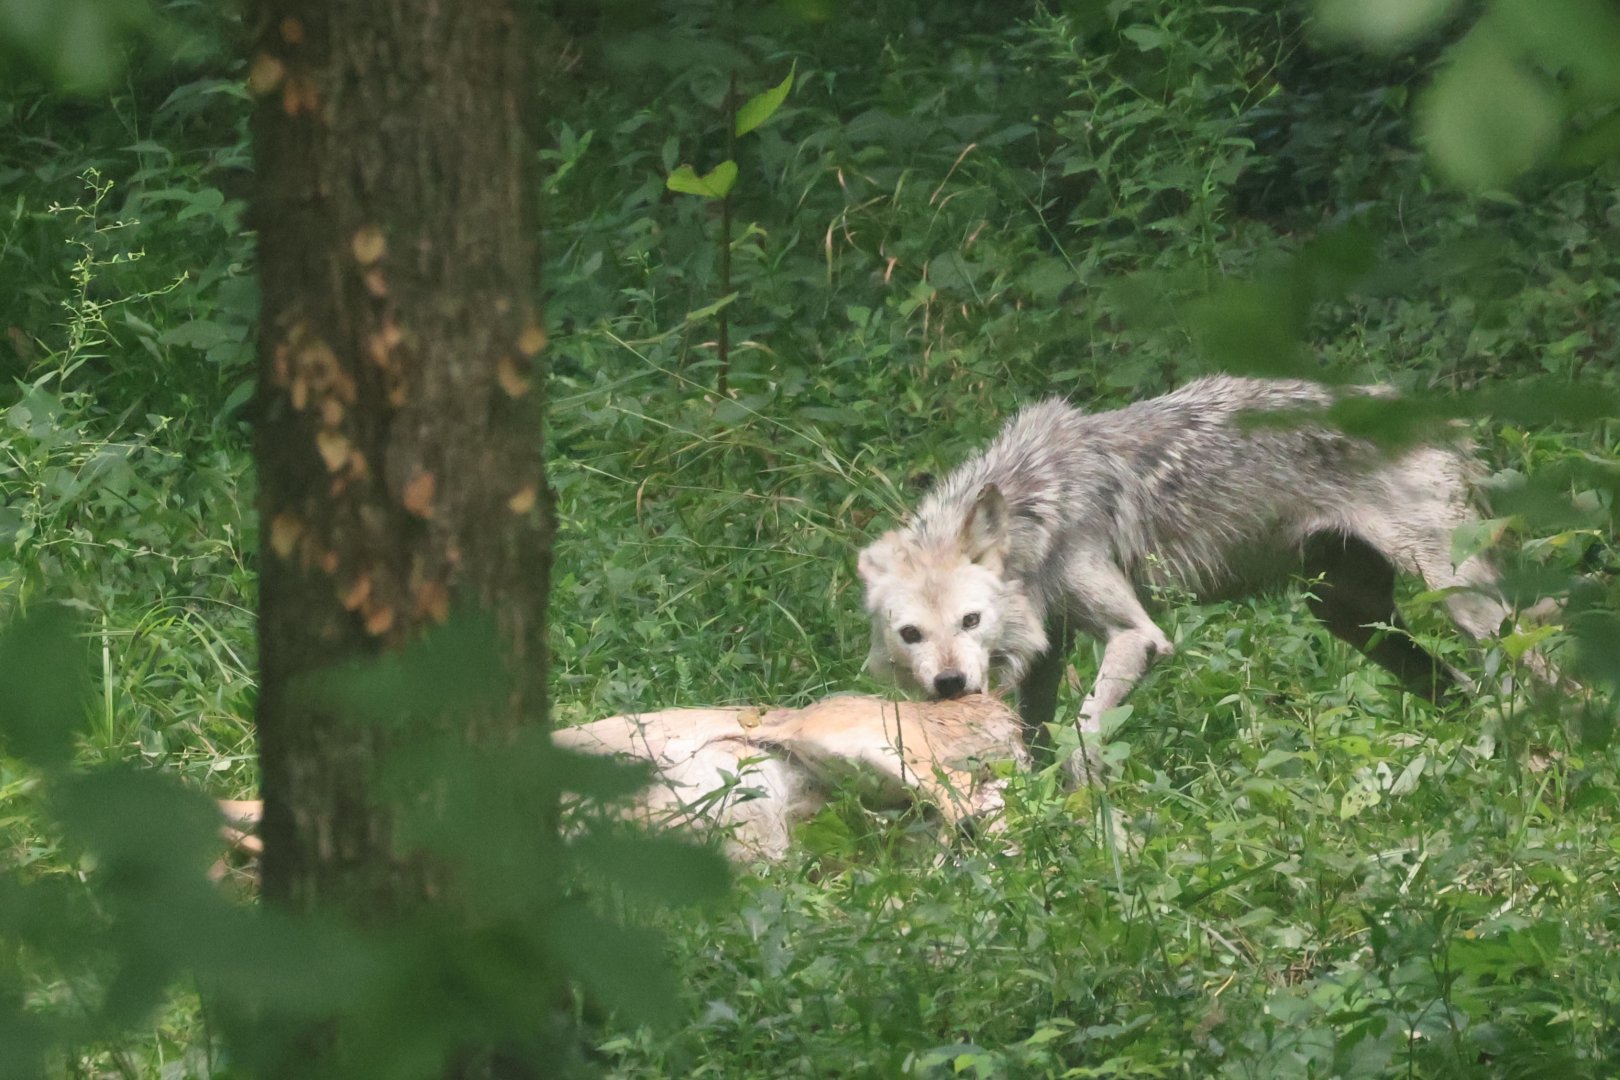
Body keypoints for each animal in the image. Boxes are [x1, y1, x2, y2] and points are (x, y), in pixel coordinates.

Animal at [857, 375, 1553, 782]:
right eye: (912, 634)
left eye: (970, 620)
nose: (950, 685)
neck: (1037, 503)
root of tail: (1438, 416)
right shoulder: (1048, 645)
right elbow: (1037, 740)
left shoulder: (1137, 637)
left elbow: (1083, 741)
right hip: (1355, 622)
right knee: (1460, 689)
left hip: (1461, 602)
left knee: (1537, 673)